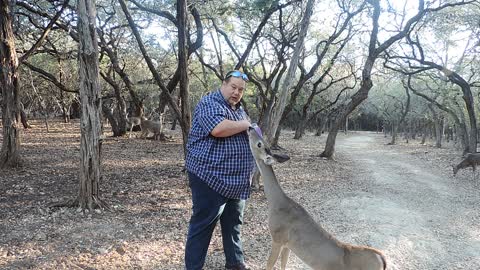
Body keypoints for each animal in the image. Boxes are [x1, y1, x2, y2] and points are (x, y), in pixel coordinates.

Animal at [248, 126, 386, 270]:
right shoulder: (288, 244)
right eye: (263, 140)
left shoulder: (278, 237)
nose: (250, 127)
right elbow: (283, 264)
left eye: (259, 143)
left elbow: (269, 265)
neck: (276, 203)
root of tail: (382, 259)